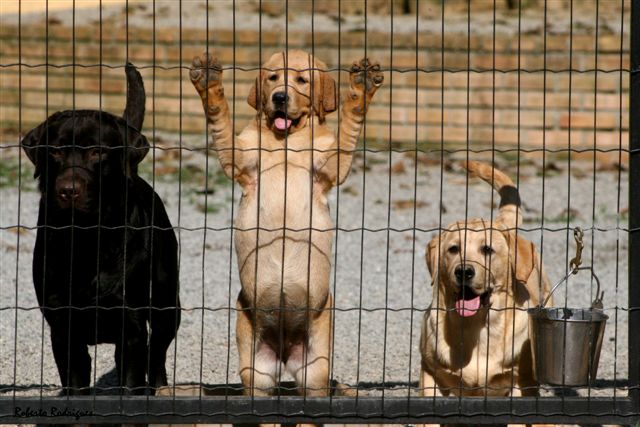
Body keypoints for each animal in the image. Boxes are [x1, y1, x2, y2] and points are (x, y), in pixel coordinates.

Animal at [21, 64, 180, 395]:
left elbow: (133, 381)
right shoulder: (62, 327)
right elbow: (75, 383)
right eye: (56, 152)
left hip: (166, 305)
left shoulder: (131, 325)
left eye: (97, 152)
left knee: (157, 354)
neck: (87, 237)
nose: (68, 190)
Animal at [190, 50, 383, 396]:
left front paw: (361, 88)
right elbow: (220, 120)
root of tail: (283, 351)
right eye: (273, 78)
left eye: (302, 80)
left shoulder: (332, 166)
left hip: (315, 366)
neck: (286, 139)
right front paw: (209, 83)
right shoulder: (239, 160)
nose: (279, 97)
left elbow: (348, 130)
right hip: (255, 366)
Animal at [420, 160, 552, 400]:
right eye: (453, 249)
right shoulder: (431, 375)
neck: (477, 330)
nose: (463, 271)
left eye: (487, 249)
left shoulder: (521, 382)